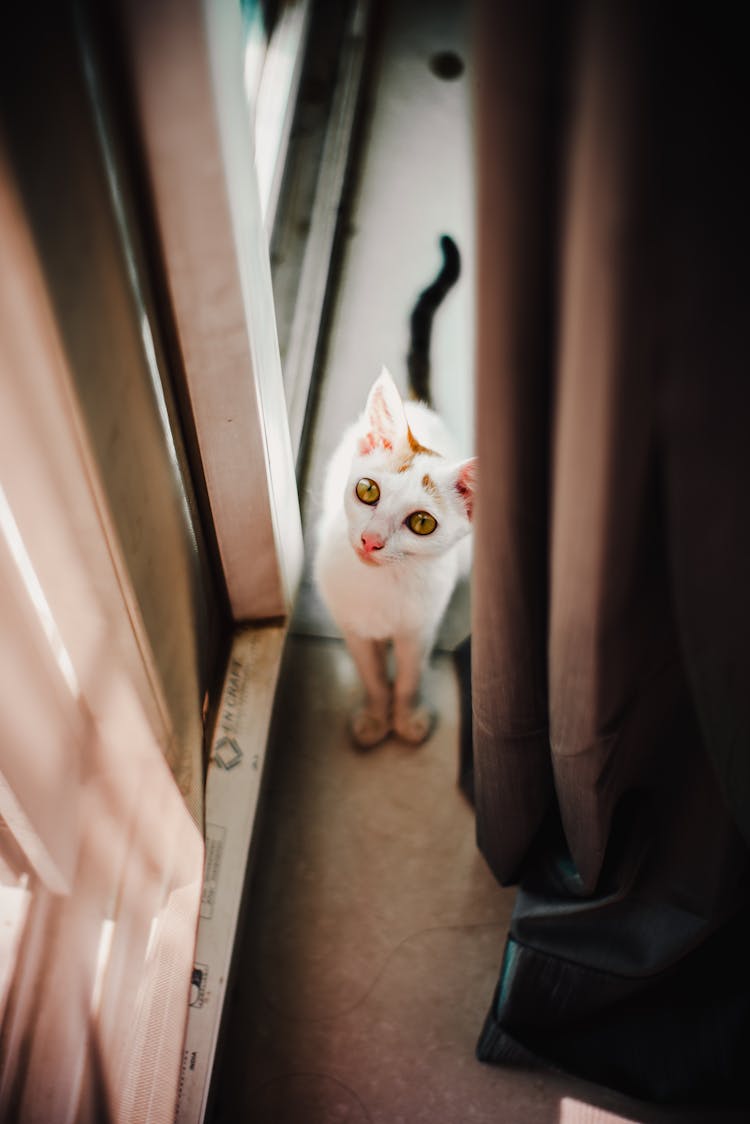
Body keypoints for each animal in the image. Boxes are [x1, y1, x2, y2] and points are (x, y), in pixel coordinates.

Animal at [314, 368, 479, 750]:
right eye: (367, 490)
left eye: (422, 523)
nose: (371, 540)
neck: (383, 584)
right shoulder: (352, 628)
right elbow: (372, 674)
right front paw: (376, 716)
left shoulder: (418, 630)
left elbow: (408, 676)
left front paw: (406, 717)